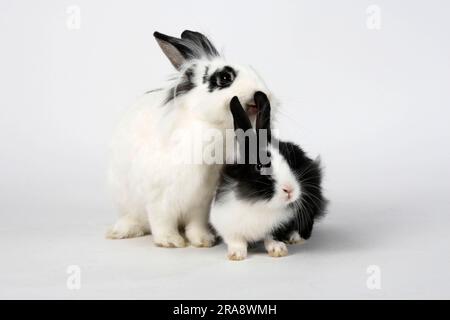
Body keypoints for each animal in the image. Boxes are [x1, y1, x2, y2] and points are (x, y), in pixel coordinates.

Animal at [107, 30, 274, 249]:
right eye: (225, 77)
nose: (262, 93)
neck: (210, 125)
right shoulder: (158, 197)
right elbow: (161, 221)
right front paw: (170, 241)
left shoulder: (201, 201)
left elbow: (196, 223)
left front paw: (203, 240)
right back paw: (121, 231)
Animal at [209, 90, 326, 260]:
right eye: (259, 166)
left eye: (289, 161)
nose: (290, 190)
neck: (260, 204)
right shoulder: (225, 221)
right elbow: (236, 240)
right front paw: (237, 254)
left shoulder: (281, 222)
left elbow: (271, 236)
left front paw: (278, 250)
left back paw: (295, 238)